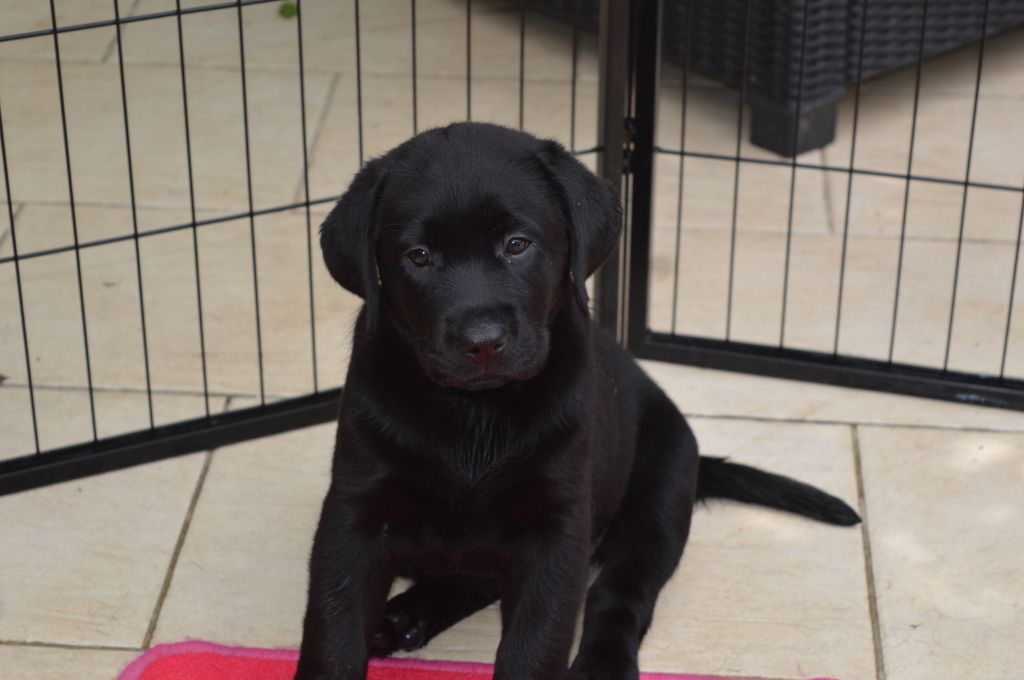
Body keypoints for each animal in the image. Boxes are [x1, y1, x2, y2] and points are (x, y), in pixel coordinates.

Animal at [294, 122, 856, 680]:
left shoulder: (558, 526)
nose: (481, 340)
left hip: (657, 505)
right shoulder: (354, 510)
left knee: (619, 597)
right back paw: (405, 615)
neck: (473, 412)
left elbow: (535, 643)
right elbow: (332, 629)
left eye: (517, 244)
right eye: (419, 257)